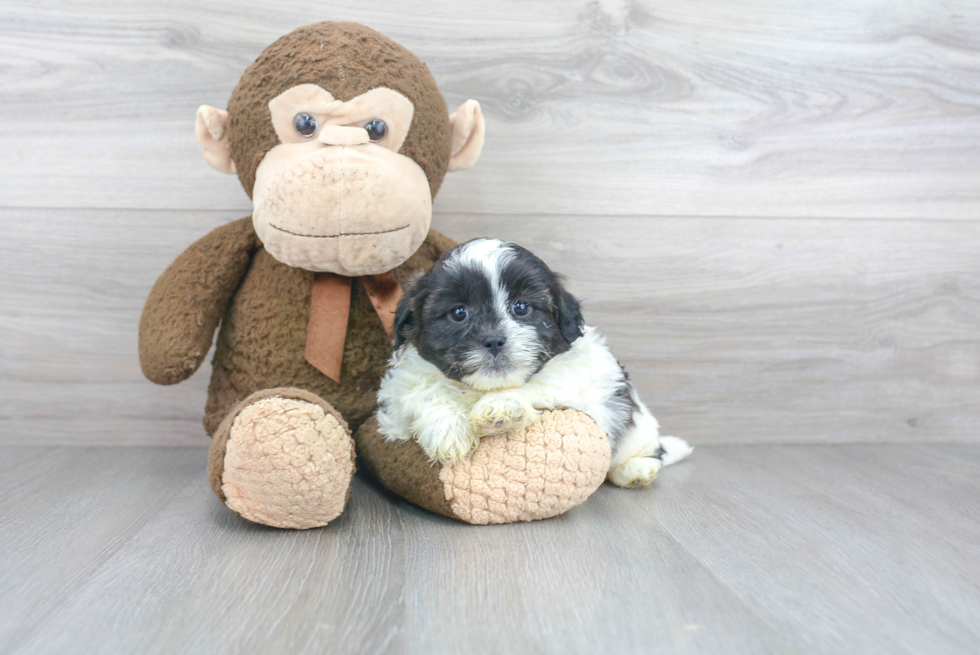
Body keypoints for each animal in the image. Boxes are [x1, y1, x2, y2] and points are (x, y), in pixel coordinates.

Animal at [376, 238, 688, 484]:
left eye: (521, 307)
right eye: (458, 312)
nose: (494, 340)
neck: (482, 389)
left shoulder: (575, 384)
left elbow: (536, 386)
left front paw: (500, 407)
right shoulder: (398, 399)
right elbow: (426, 391)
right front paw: (448, 431)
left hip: (640, 428)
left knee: (647, 453)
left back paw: (635, 470)